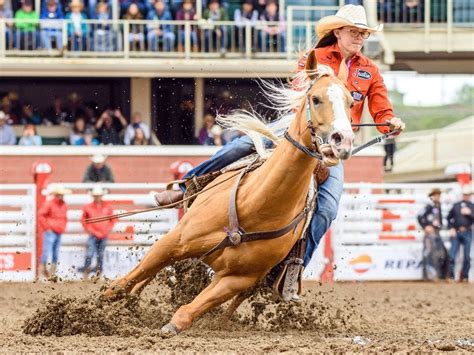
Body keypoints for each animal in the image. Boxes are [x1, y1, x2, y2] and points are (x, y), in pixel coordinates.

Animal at [102, 50, 354, 336]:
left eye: (351, 102)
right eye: (316, 98)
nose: (342, 140)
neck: (256, 205)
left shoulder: (238, 279)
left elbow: (187, 313)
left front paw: (172, 326)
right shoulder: (174, 241)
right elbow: (128, 280)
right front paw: (101, 304)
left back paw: (222, 321)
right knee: (145, 276)